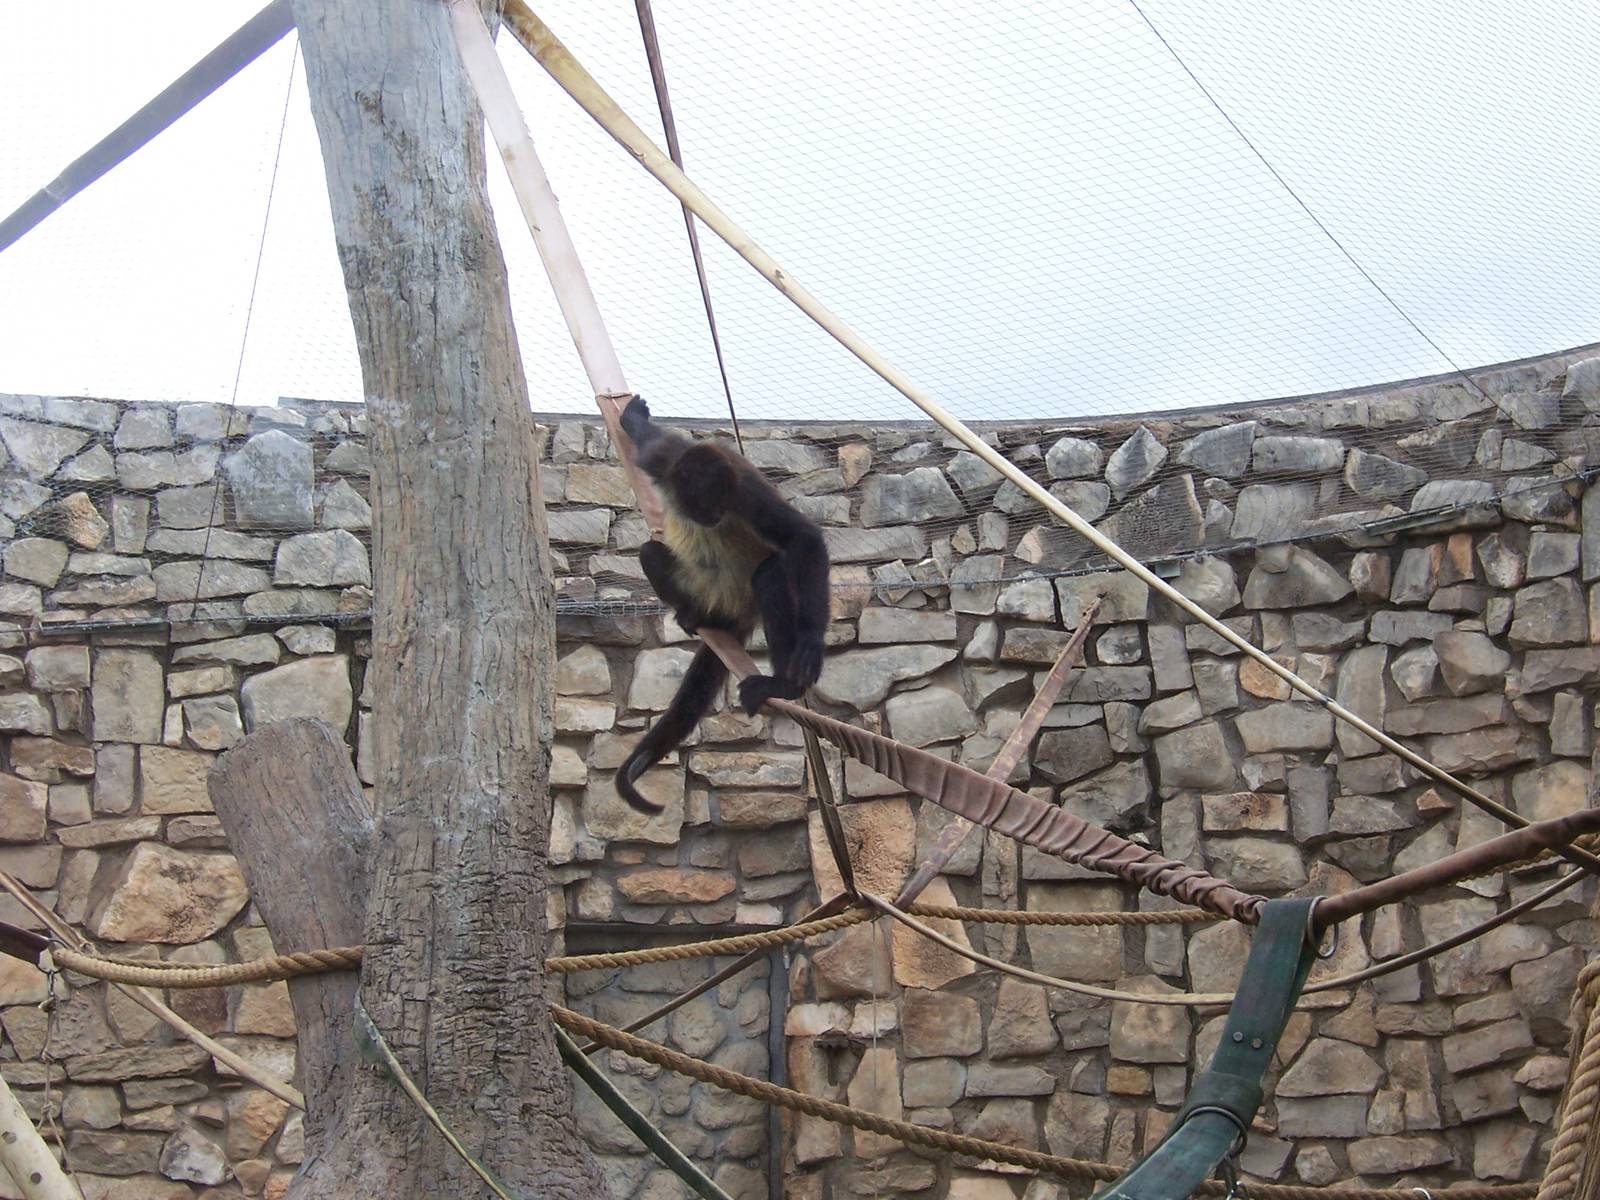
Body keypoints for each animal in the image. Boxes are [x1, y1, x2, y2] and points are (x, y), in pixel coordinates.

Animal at [614, 396, 830, 814]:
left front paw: (811, 644)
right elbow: (649, 442)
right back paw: (694, 616)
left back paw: (781, 686)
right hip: (700, 588)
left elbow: (804, 538)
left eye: (718, 502)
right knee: (650, 551)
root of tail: (729, 612)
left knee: (771, 574)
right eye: (702, 504)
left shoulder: (744, 493)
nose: (712, 516)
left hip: (748, 597)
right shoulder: (668, 460)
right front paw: (633, 418)